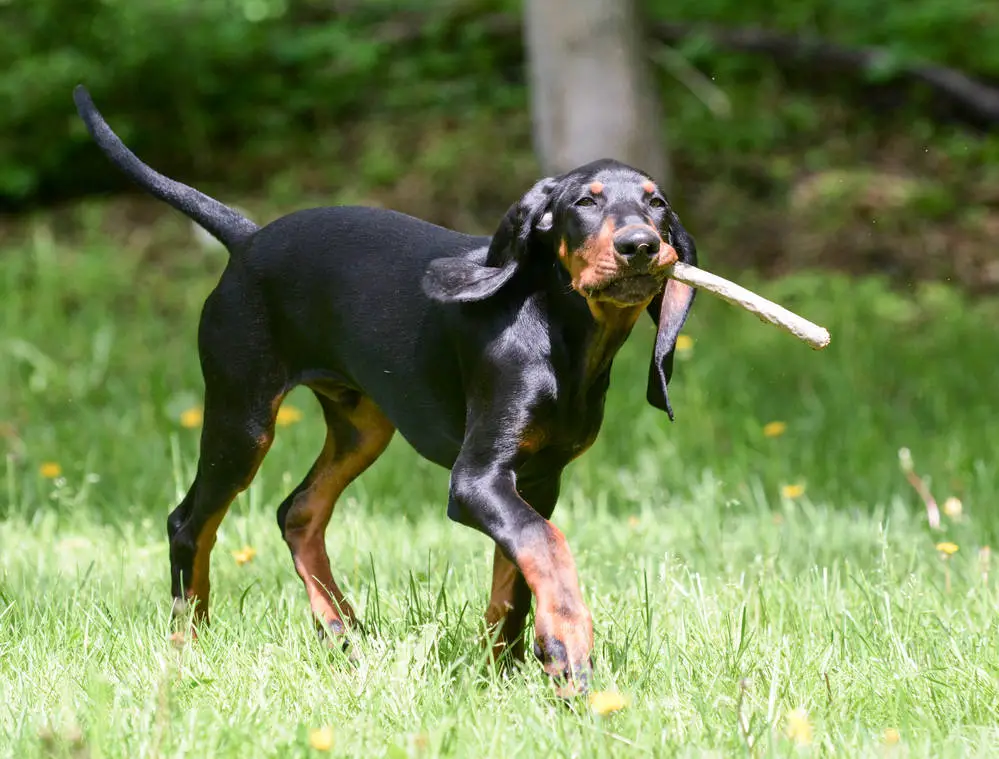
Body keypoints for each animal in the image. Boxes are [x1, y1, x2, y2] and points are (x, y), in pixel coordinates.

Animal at [74, 83, 700, 696]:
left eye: (658, 203)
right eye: (584, 203)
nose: (642, 245)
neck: (560, 332)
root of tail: (248, 240)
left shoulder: (537, 479)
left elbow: (515, 579)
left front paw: (509, 669)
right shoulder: (477, 479)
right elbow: (545, 545)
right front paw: (569, 643)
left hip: (362, 426)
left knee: (298, 511)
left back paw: (341, 629)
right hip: (242, 418)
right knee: (189, 522)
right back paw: (191, 643)